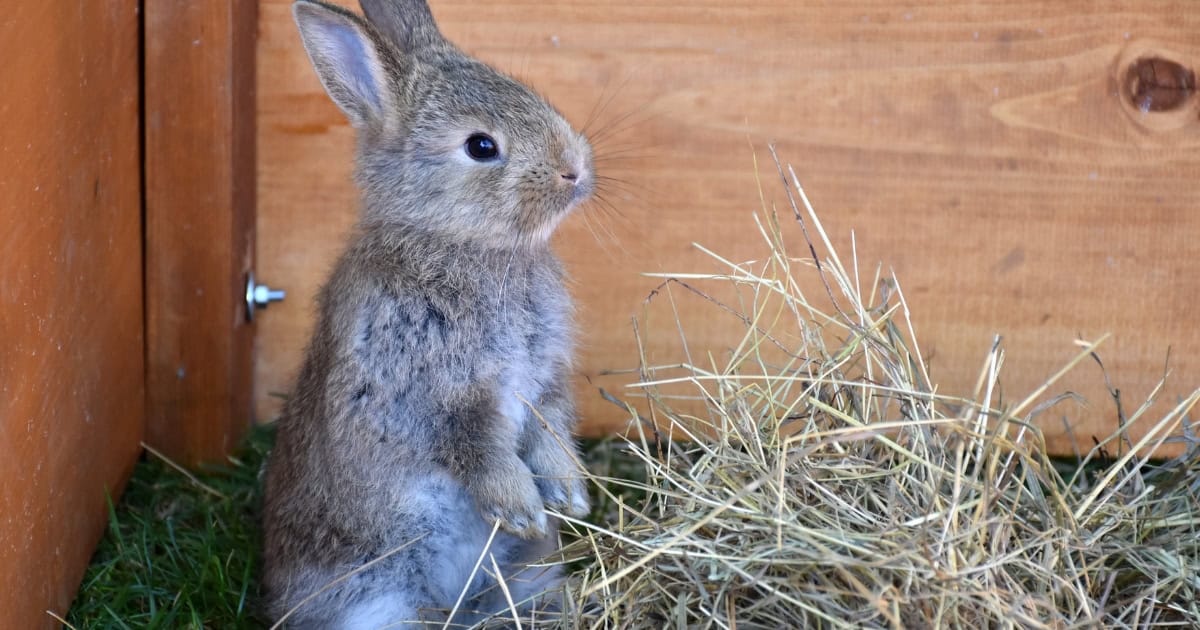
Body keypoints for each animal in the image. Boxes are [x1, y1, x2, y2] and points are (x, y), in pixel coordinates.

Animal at [260, 0, 595, 627]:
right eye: (481, 147)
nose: (574, 169)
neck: (454, 244)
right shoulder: (424, 392)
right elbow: (474, 447)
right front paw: (522, 509)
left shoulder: (546, 381)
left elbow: (551, 426)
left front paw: (569, 496)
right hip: (376, 601)